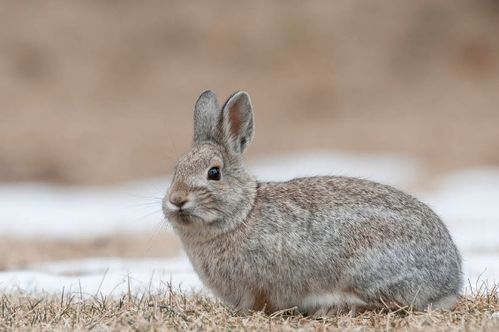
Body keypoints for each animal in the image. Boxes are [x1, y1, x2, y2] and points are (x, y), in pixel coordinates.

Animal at [164, 90, 464, 314]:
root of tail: (449, 282)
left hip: (368, 268)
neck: (243, 214)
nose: (177, 199)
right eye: (175, 170)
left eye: (214, 173)